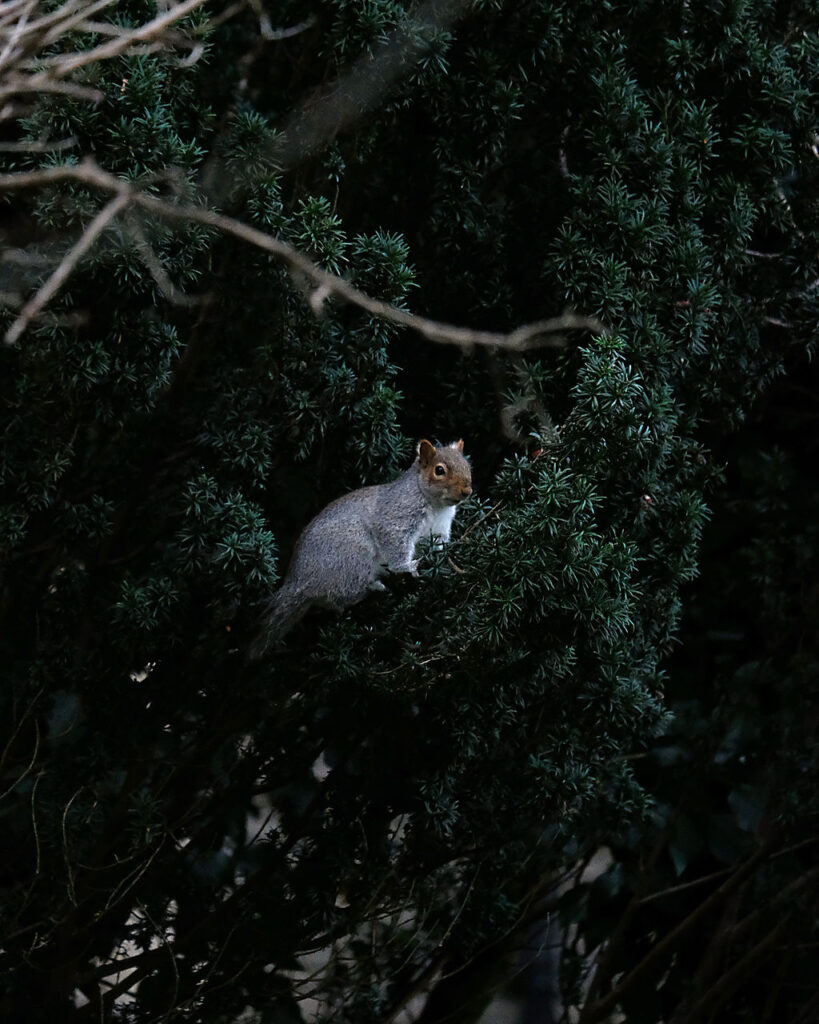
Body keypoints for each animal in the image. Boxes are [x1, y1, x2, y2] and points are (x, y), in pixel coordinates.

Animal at [249, 439, 472, 656]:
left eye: (468, 466)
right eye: (439, 470)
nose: (467, 491)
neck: (436, 505)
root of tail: (298, 582)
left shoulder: (438, 530)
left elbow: (438, 545)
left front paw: (443, 558)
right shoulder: (395, 518)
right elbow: (395, 546)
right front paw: (408, 567)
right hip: (354, 554)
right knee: (340, 597)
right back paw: (372, 587)